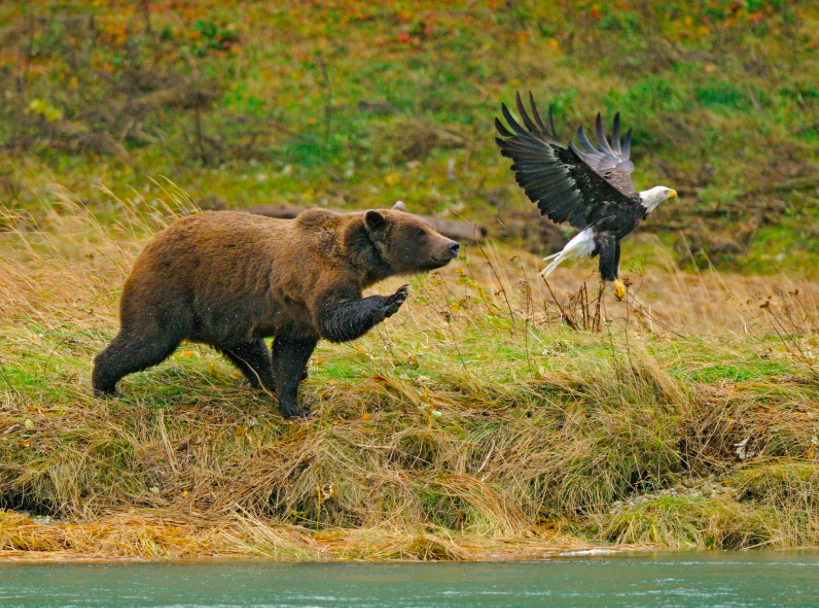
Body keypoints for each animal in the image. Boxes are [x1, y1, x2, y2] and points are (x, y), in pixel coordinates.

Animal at [94, 202, 462, 420]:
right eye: (420, 232)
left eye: (428, 225)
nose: (453, 244)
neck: (355, 259)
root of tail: (148, 245)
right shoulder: (317, 277)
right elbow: (334, 317)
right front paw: (393, 298)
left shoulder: (297, 316)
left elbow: (290, 352)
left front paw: (294, 400)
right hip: (171, 290)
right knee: (147, 340)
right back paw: (105, 384)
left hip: (224, 313)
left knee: (249, 350)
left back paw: (267, 379)